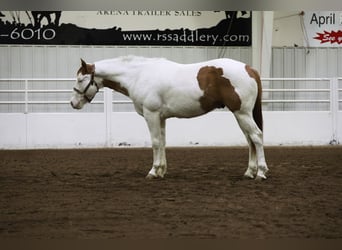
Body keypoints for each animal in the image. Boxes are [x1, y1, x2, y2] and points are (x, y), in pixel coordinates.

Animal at [70, 55, 268, 180]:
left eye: (80, 79)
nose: (73, 103)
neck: (138, 75)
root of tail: (249, 69)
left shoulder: (151, 115)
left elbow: (156, 142)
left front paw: (153, 171)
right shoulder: (161, 117)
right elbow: (163, 142)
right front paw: (161, 171)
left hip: (242, 113)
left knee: (257, 137)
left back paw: (260, 173)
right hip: (241, 115)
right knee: (250, 140)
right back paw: (249, 172)